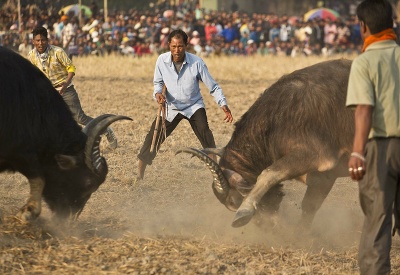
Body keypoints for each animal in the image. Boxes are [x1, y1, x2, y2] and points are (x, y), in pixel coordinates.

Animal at [178, 59, 354, 229]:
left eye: (235, 201)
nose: (266, 226)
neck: (276, 119)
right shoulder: (324, 177)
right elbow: (310, 206)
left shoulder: (316, 155)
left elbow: (268, 173)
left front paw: (244, 211)